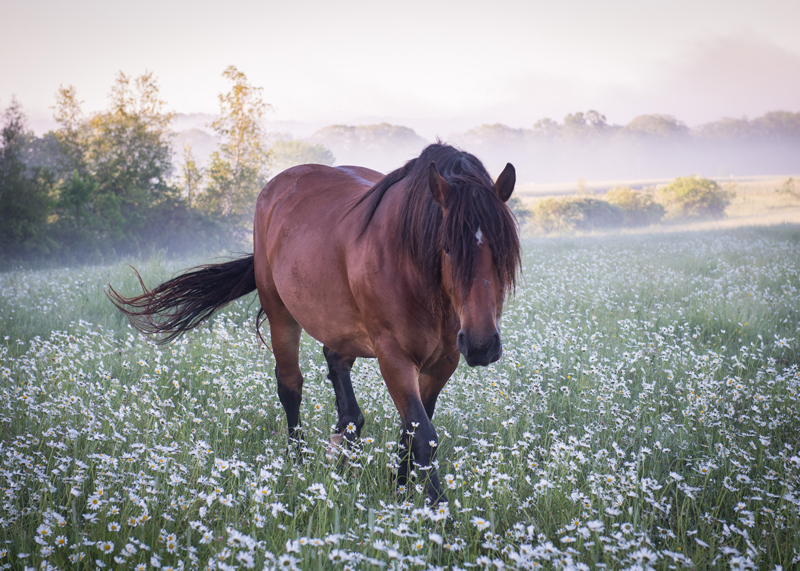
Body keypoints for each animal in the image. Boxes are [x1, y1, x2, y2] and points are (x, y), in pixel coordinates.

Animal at [108, 144, 520, 504]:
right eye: (447, 247)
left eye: (504, 250)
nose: (482, 345)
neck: (411, 266)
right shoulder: (394, 357)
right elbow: (422, 435)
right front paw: (436, 512)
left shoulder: (442, 361)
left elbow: (414, 430)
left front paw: (399, 487)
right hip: (280, 314)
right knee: (290, 386)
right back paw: (298, 460)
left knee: (339, 375)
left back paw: (343, 445)